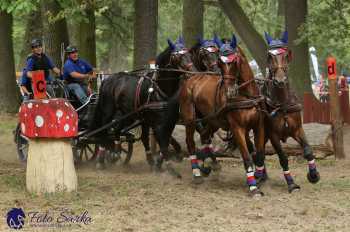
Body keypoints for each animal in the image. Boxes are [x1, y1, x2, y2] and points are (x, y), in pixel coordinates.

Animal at [180, 34, 266, 197]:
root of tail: (193, 78)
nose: (228, 91)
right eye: (221, 63)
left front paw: (259, 177)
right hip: (190, 119)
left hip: (213, 120)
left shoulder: (258, 126)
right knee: (190, 142)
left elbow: (259, 153)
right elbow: (246, 156)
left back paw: (210, 165)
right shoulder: (237, 128)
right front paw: (253, 187)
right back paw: (197, 173)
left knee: (205, 136)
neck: (246, 96)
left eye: (234, 62)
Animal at [258, 31, 322, 193]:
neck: (283, 104)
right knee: (257, 152)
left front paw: (313, 175)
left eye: (286, 55)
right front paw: (291, 183)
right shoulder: (273, 135)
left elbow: (308, 151)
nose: (280, 81)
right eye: (269, 56)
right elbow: (283, 158)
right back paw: (258, 176)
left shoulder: (297, 129)